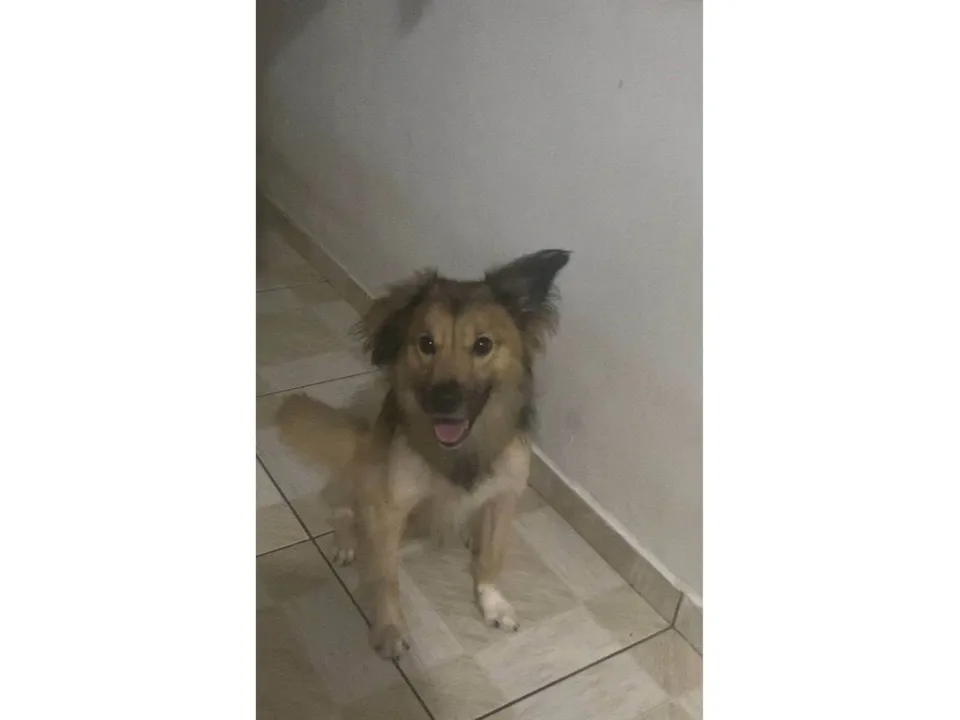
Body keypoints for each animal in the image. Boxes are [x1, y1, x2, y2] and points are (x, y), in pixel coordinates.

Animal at [275, 249, 570, 659]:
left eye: (483, 345)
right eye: (426, 343)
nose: (444, 399)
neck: (461, 449)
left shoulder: (505, 496)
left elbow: (493, 556)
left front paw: (492, 603)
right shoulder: (390, 506)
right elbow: (386, 577)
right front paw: (389, 630)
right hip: (364, 471)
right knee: (342, 506)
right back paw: (347, 541)